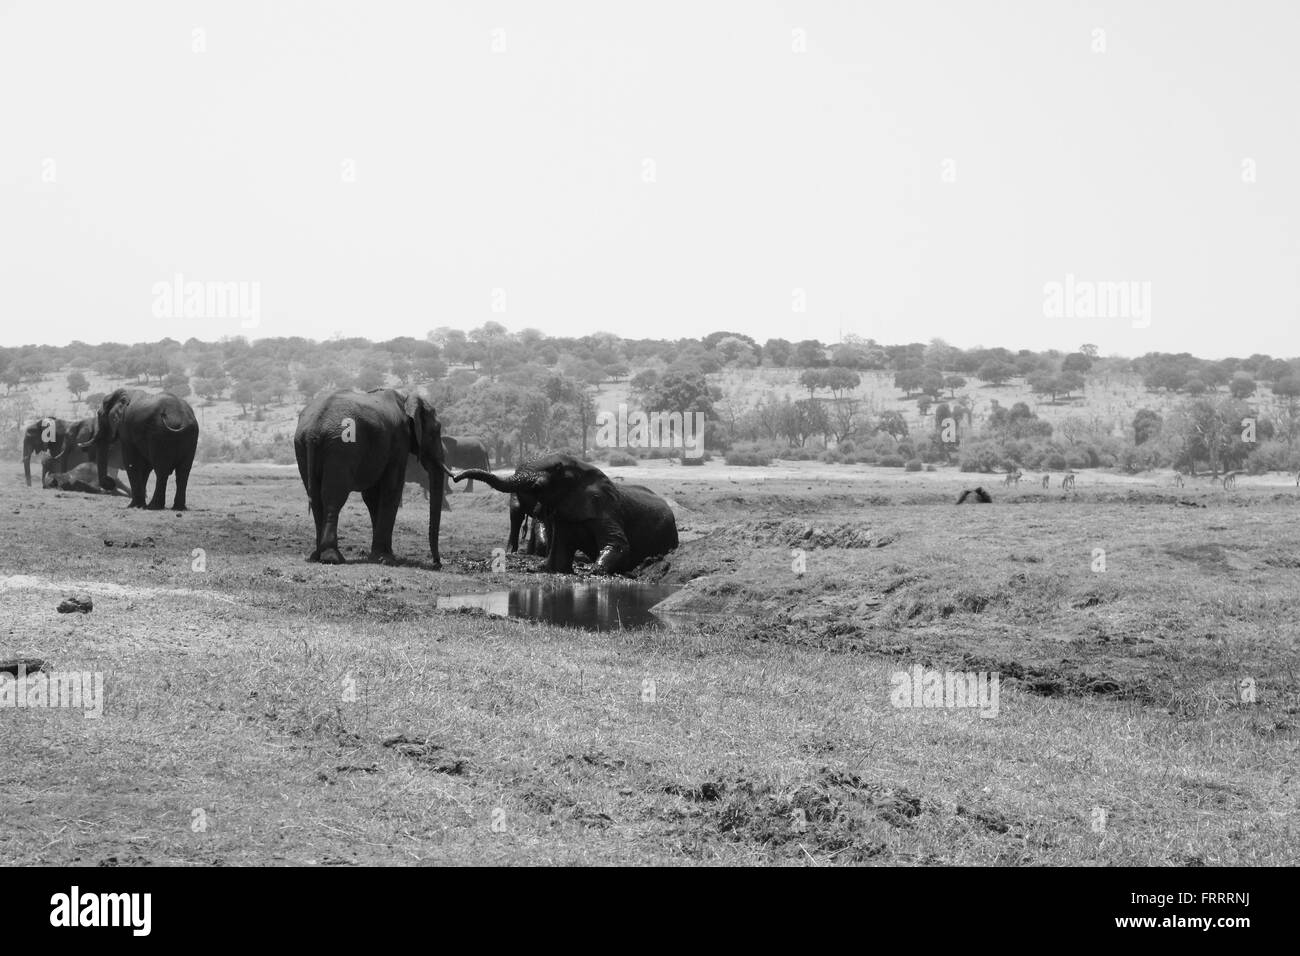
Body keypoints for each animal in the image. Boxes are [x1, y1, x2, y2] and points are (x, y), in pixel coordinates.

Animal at [295, 390, 452, 567]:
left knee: (315, 498)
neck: (405, 399)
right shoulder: (399, 443)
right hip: (341, 448)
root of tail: (314, 429)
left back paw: (316, 556)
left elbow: (371, 496)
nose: (437, 563)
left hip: (302, 446)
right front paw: (387, 559)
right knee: (334, 497)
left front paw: (379, 556)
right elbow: (392, 488)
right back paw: (332, 557)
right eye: (436, 430)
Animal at [454, 452, 681, 572]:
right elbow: (560, 553)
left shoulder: (605, 509)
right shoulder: (565, 516)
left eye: (557, 469)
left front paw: (590, 570)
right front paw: (543, 568)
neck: (584, 469)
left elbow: (618, 545)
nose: (455, 477)